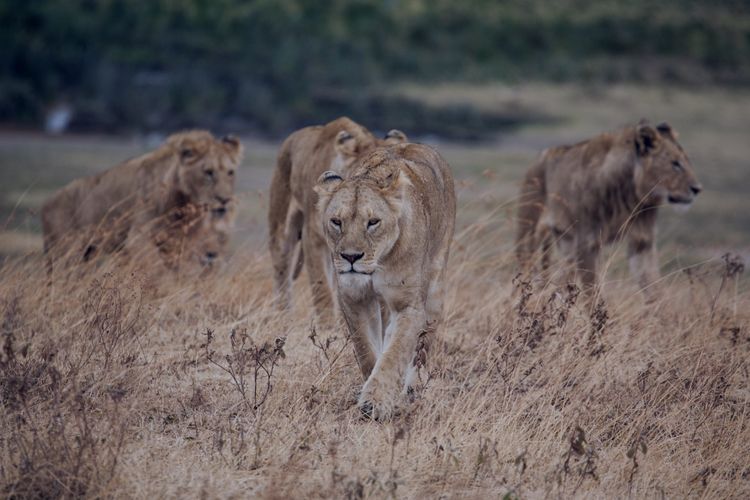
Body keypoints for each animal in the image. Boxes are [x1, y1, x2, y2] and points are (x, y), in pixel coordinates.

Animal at [41, 129, 244, 272]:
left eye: (230, 172)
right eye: (208, 172)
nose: (225, 200)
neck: (183, 205)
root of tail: (47, 202)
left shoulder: (179, 244)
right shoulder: (137, 239)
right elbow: (156, 273)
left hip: (86, 253)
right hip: (65, 252)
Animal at [268, 116, 408, 324]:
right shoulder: (314, 239)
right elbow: (322, 289)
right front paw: (328, 327)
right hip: (281, 228)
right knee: (282, 273)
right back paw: (282, 317)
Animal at [312, 143, 456, 420]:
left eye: (373, 222)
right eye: (336, 222)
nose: (351, 257)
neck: (377, 264)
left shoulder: (409, 306)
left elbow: (395, 354)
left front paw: (375, 403)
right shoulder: (354, 298)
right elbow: (367, 350)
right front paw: (371, 388)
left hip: (436, 288)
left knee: (422, 349)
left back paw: (412, 390)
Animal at [516, 119, 704, 294]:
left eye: (687, 162)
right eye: (675, 164)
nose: (697, 189)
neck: (631, 197)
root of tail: (541, 156)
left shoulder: (642, 241)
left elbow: (654, 288)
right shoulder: (587, 243)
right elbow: (593, 293)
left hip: (565, 242)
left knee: (560, 280)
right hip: (530, 232)